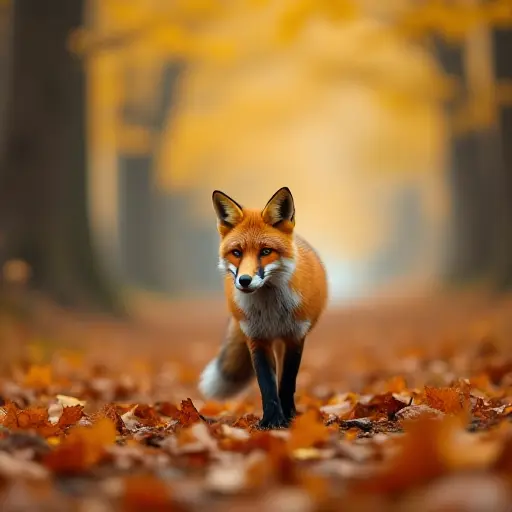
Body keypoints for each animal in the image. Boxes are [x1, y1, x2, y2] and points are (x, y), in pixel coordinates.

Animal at [198, 187, 326, 428]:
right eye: (237, 253)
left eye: (266, 252)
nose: (244, 281)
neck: (271, 311)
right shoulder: (256, 338)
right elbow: (266, 385)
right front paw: (271, 420)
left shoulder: (295, 337)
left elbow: (287, 382)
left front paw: (286, 418)